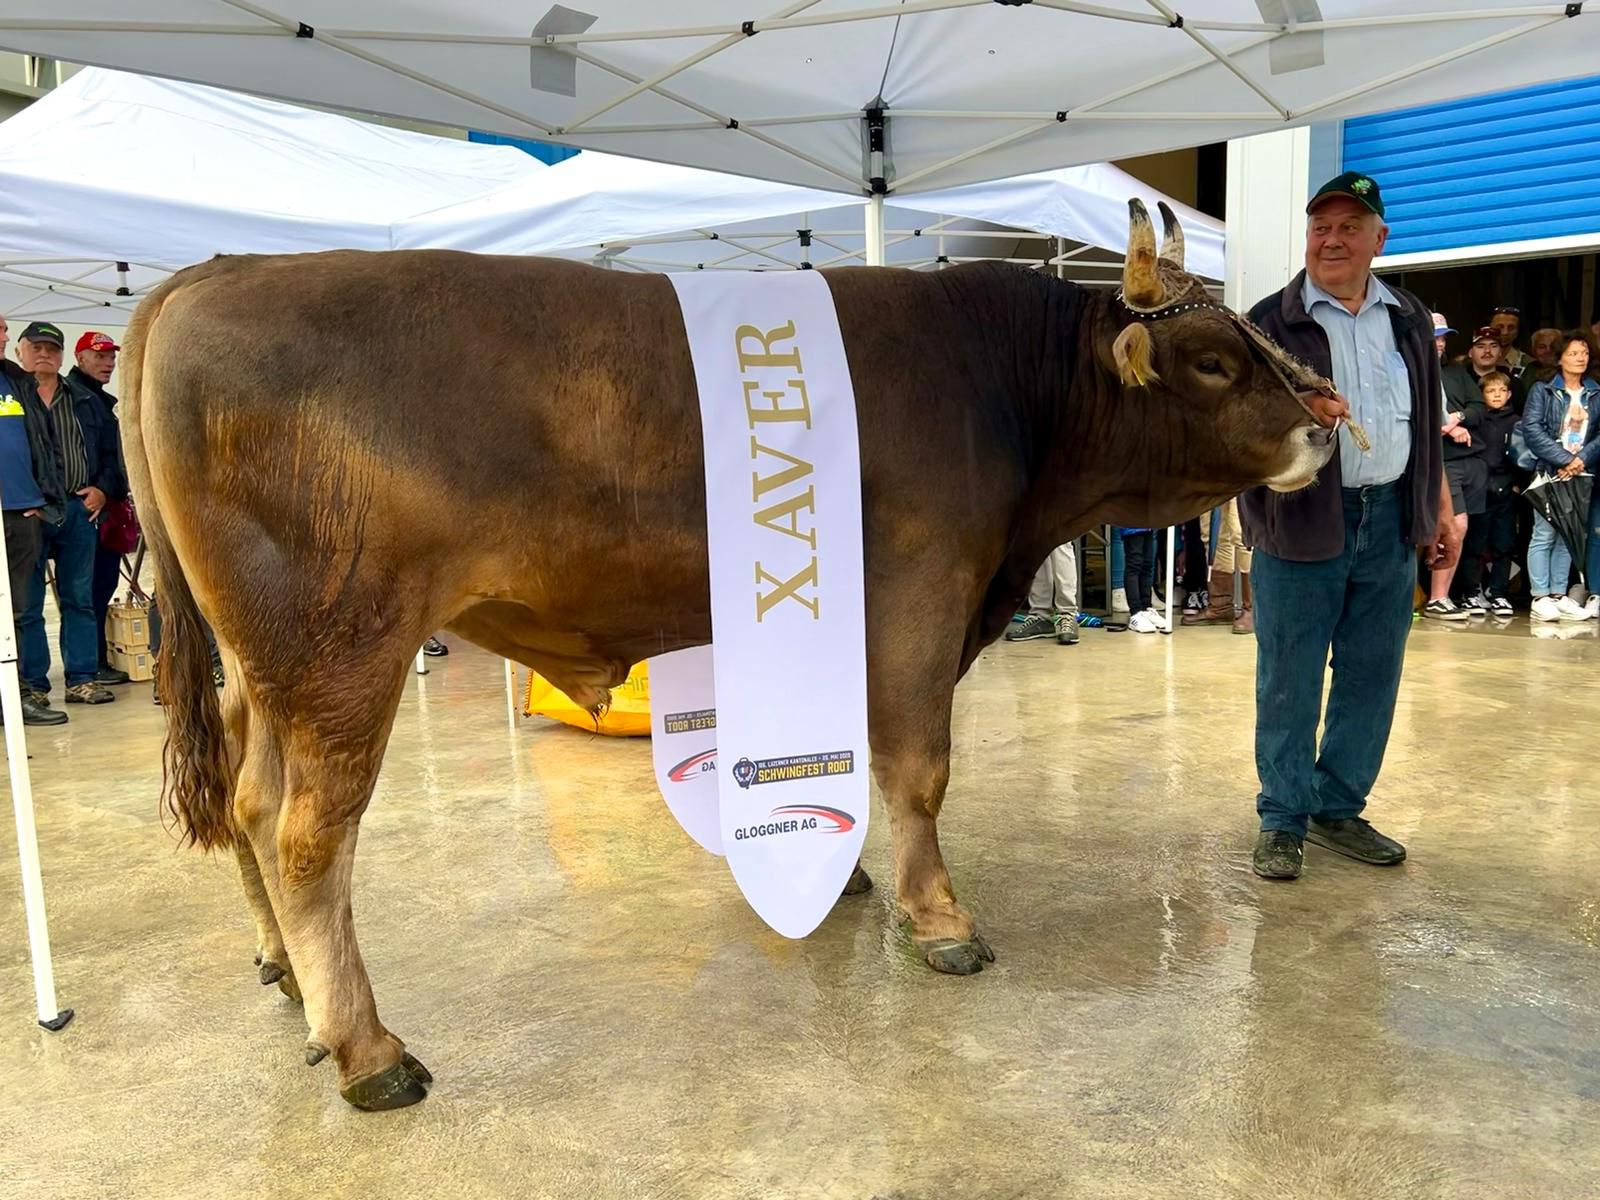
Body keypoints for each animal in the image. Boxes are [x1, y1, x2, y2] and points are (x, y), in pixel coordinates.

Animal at [121, 202, 1337, 1113]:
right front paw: (938, 920)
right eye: (1213, 361)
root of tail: (212, 276)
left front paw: (846, 881)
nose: (1325, 429)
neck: (1000, 385)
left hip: (263, 663)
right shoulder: (922, 587)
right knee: (307, 832)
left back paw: (293, 985)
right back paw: (370, 1051)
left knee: (248, 799)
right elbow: (919, 767)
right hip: (340, 644)